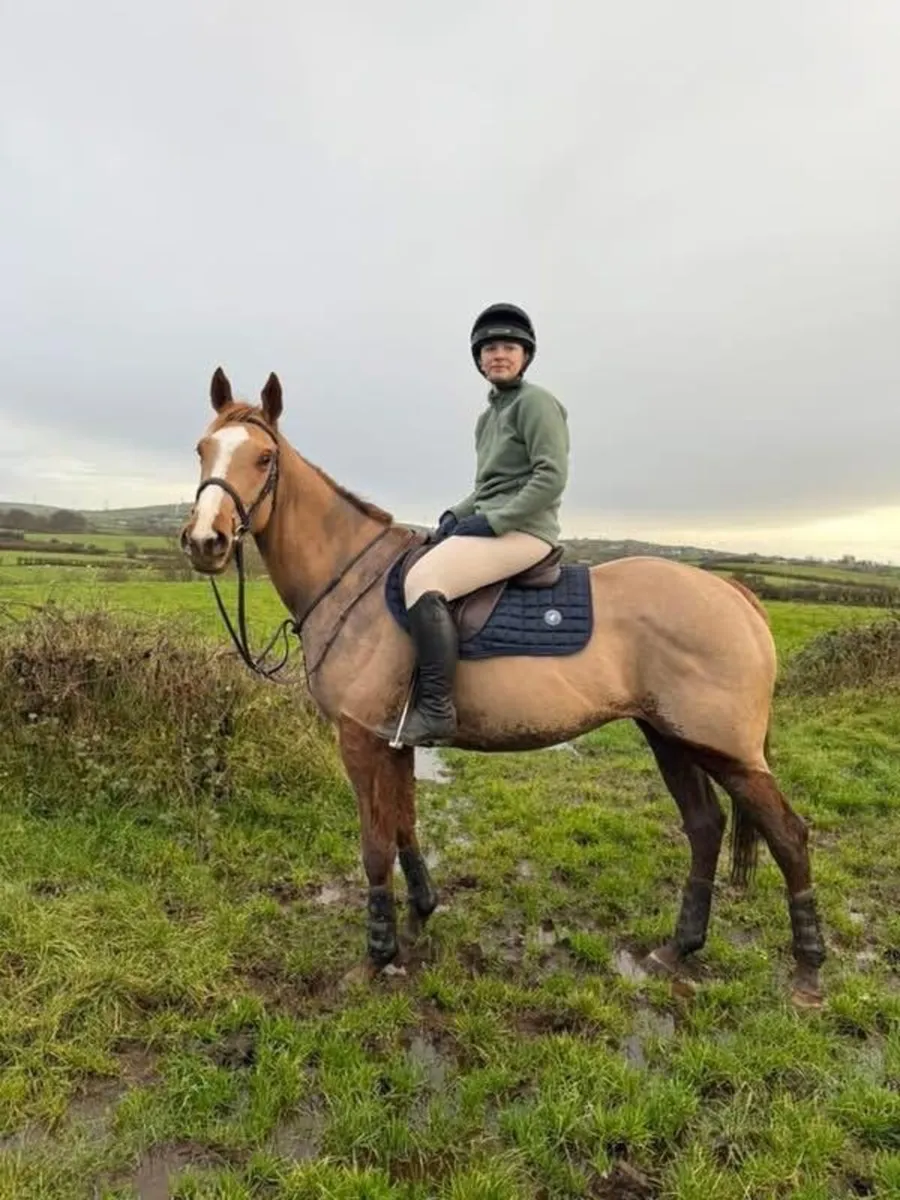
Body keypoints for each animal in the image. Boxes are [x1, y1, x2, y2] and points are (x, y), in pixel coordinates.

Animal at [179, 367, 827, 1008]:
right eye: (202, 449)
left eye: (264, 457)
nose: (206, 541)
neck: (352, 579)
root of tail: (733, 593)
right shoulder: (395, 740)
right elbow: (405, 826)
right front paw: (419, 917)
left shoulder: (360, 740)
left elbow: (375, 846)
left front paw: (376, 955)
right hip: (669, 736)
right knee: (705, 827)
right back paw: (679, 948)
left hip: (726, 750)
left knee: (790, 837)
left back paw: (808, 974)